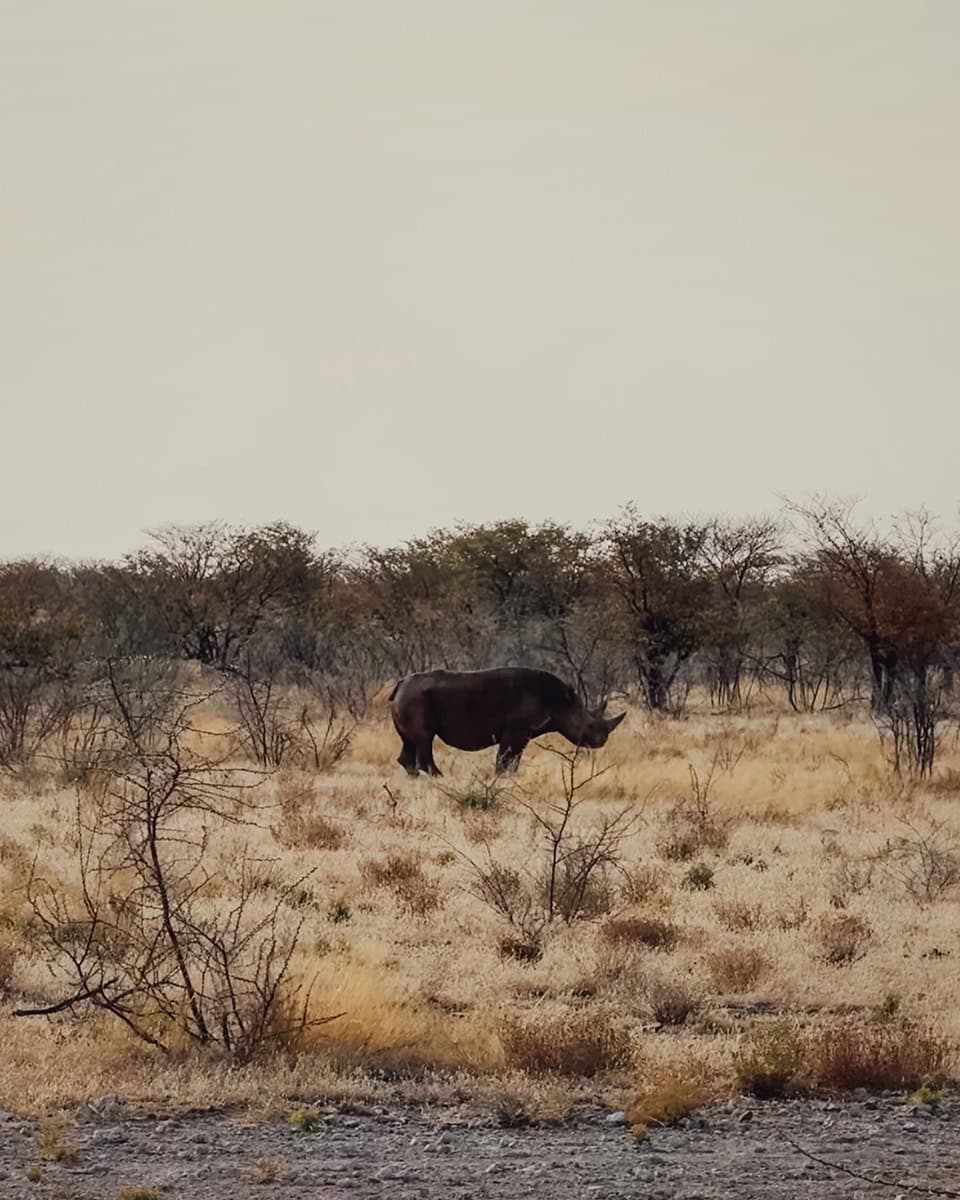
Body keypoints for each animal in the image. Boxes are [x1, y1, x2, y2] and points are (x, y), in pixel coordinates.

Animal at [388, 666, 626, 776]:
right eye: (589, 726)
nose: (601, 741)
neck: (560, 702)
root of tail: (400, 685)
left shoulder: (522, 734)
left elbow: (513, 761)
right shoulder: (515, 731)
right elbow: (504, 761)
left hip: (409, 697)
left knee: (410, 742)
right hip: (415, 699)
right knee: (425, 738)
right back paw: (440, 777)